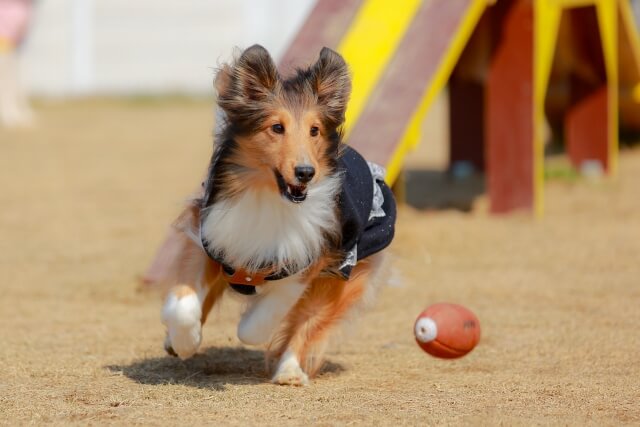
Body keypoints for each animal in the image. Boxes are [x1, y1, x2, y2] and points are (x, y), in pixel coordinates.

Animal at [151, 45, 398, 386]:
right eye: (276, 128)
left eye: (314, 131)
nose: (306, 172)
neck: (268, 197)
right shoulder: (210, 238)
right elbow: (184, 304)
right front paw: (185, 341)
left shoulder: (308, 259)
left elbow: (262, 321)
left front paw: (250, 324)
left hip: (343, 275)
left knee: (307, 323)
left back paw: (289, 371)